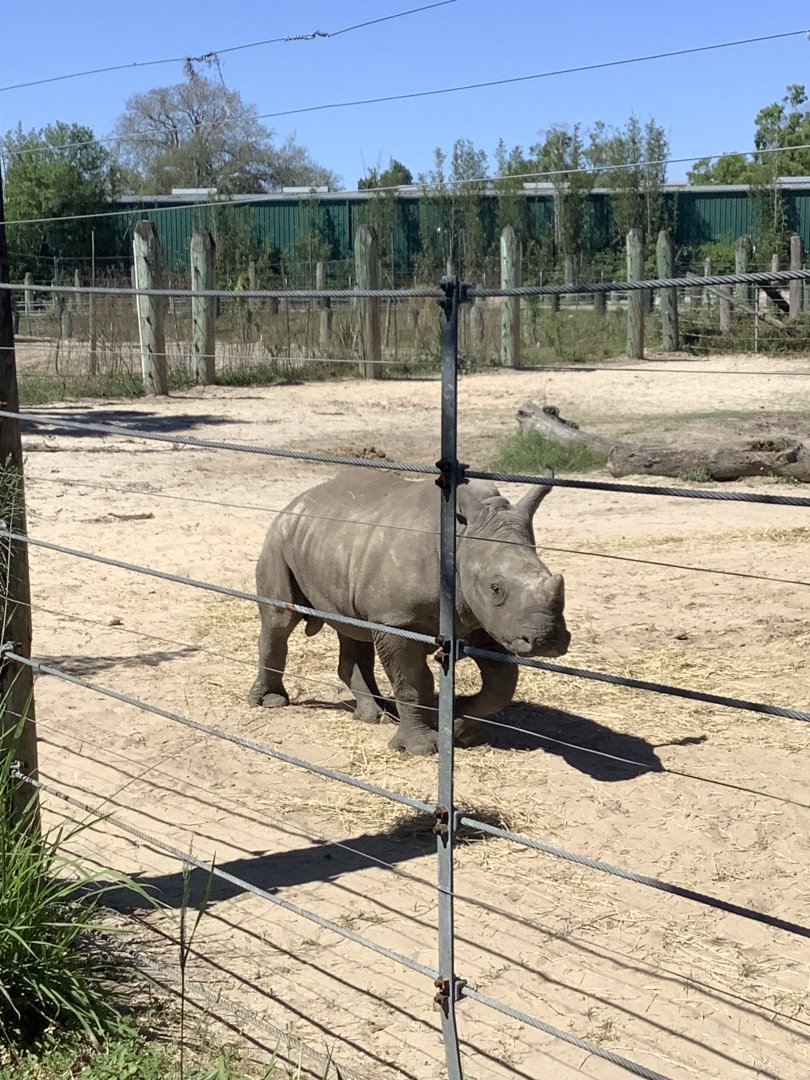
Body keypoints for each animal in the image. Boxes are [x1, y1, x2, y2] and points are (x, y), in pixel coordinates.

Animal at [248, 470, 570, 755]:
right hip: (279, 539)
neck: (462, 541)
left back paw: (377, 714)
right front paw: (420, 748)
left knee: (355, 629)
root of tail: (296, 502)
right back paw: (271, 702)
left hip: (334, 544)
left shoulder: (486, 622)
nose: (547, 640)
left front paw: (457, 721)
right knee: (280, 621)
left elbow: (502, 684)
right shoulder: (397, 620)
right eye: (496, 589)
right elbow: (412, 682)